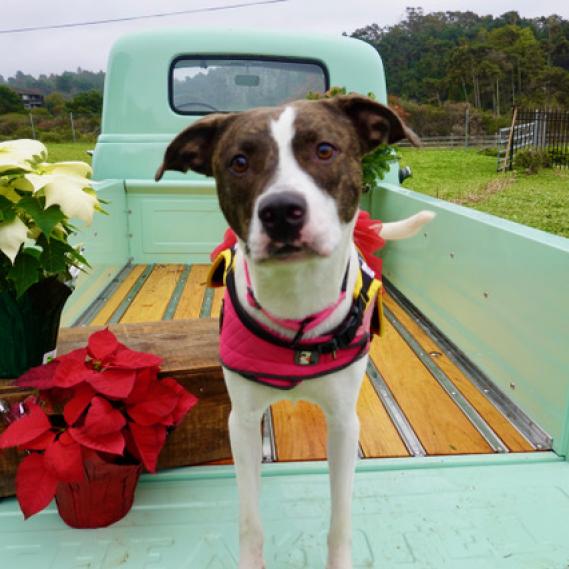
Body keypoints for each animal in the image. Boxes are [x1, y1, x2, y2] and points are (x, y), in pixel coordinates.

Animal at [156, 95, 432, 569]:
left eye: (324, 149)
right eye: (239, 161)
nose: (281, 211)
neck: (296, 299)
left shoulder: (343, 423)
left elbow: (340, 520)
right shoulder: (242, 421)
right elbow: (250, 521)